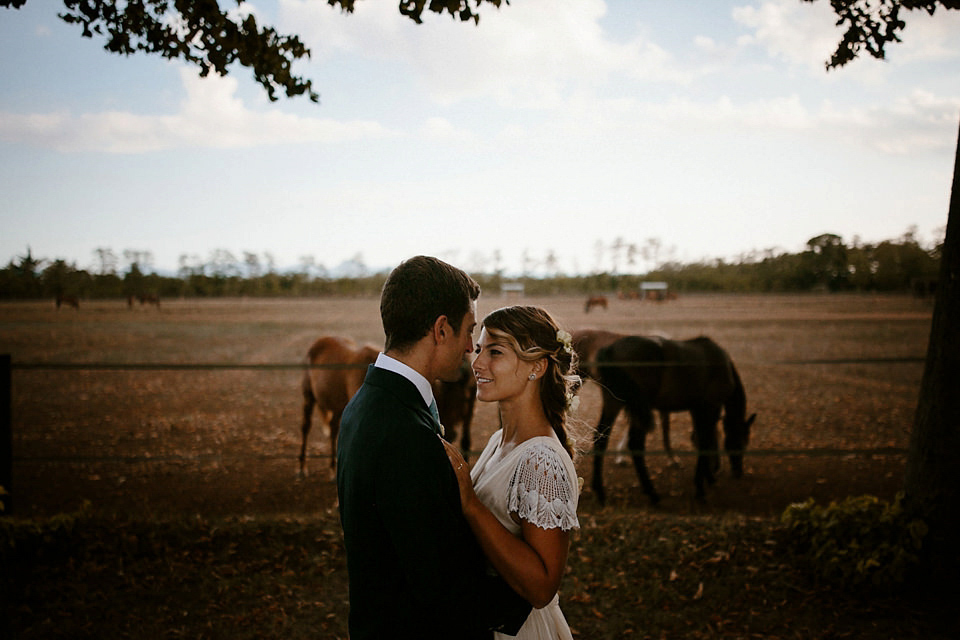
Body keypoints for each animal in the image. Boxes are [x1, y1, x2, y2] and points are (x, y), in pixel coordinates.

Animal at [580, 332, 752, 502]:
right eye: (742, 442)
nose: (738, 471)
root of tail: (611, 349)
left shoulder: (696, 409)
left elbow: (701, 439)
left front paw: (708, 478)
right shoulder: (711, 407)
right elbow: (706, 441)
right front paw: (701, 487)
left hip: (615, 402)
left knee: (601, 438)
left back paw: (600, 491)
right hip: (640, 406)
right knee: (636, 443)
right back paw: (652, 493)